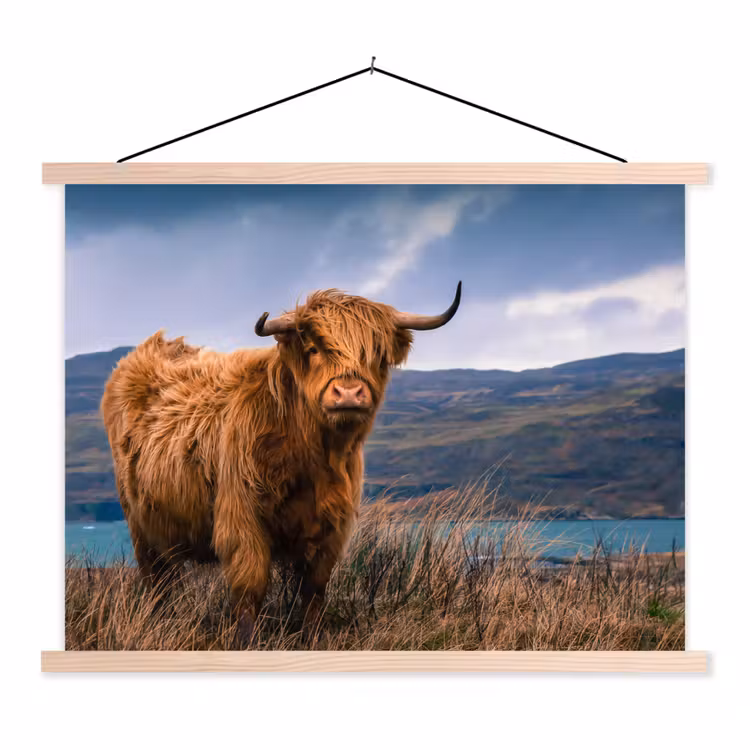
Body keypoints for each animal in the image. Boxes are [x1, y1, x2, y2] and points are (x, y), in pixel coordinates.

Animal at [101, 282, 461, 641]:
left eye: (377, 354)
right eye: (314, 349)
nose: (348, 393)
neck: (313, 457)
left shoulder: (332, 527)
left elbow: (314, 590)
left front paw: (312, 638)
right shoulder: (242, 519)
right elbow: (250, 588)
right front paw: (247, 641)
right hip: (140, 525)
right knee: (156, 580)